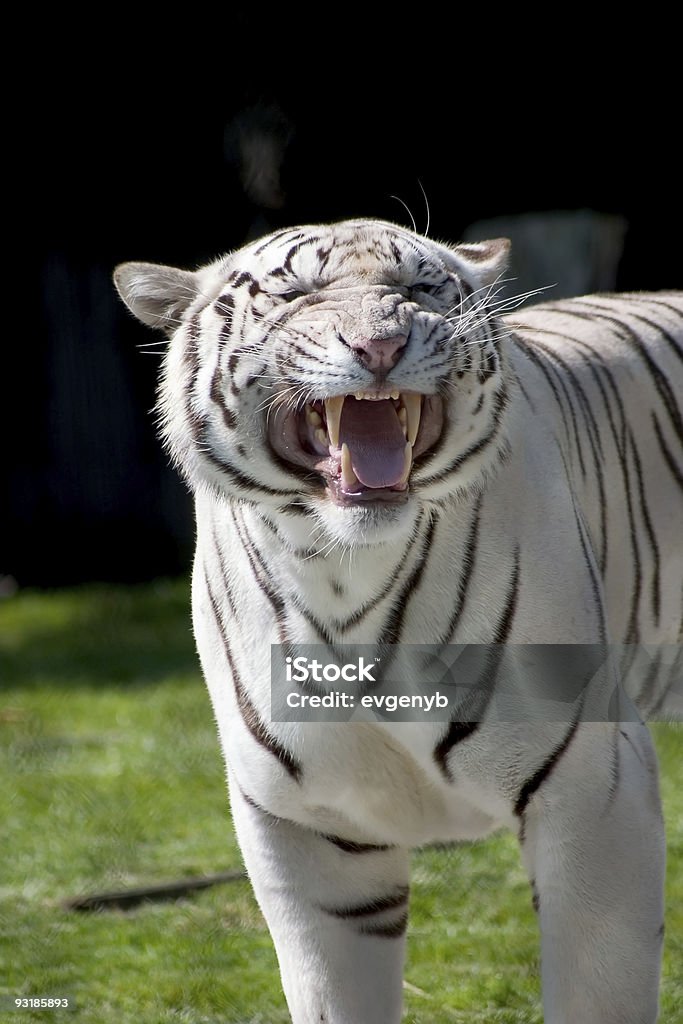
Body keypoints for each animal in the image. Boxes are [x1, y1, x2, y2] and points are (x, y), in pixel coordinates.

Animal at [114, 224, 679, 1024]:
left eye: (418, 289)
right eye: (297, 294)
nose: (380, 346)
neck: (343, 575)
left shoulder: (592, 781)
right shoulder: (305, 828)